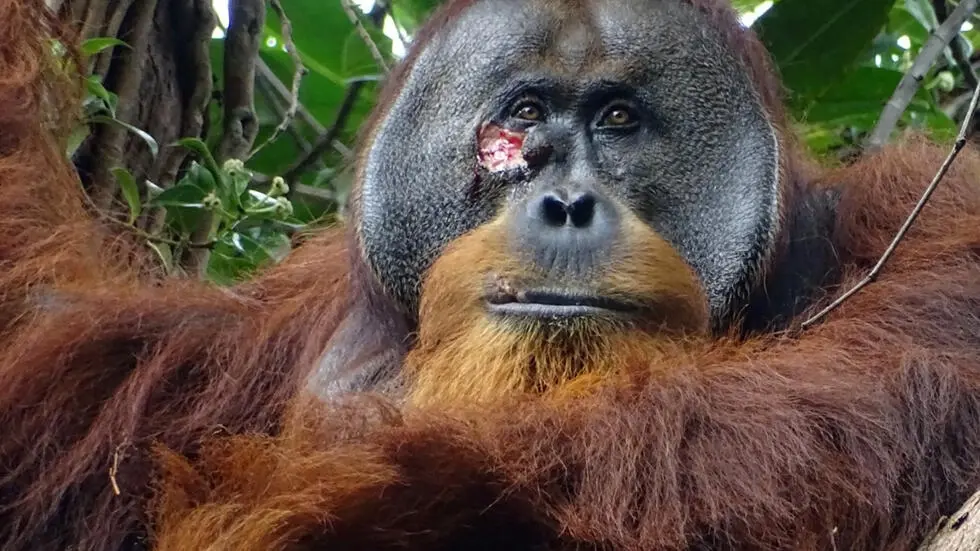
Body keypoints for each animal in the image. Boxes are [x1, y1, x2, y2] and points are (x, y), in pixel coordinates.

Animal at [2, 0, 980, 550]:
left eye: (618, 119)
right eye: (526, 115)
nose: (565, 200)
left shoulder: (910, 214)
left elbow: (879, 383)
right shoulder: (252, 335)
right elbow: (51, 346)